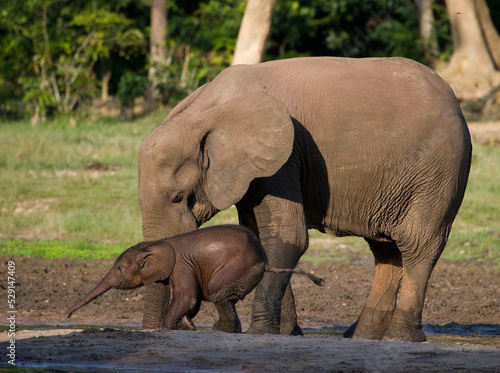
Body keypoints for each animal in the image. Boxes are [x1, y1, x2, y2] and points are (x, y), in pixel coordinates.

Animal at [66, 224, 324, 332]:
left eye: (119, 269)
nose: (67, 315)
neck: (155, 245)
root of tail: (265, 259)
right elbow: (190, 301)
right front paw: (186, 323)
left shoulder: (181, 267)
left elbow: (188, 297)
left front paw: (181, 326)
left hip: (237, 266)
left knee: (219, 292)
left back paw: (219, 329)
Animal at [138, 56, 472, 342]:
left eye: (178, 197)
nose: (169, 328)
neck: (208, 112)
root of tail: (453, 98)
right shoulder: (255, 168)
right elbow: (261, 238)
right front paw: (286, 334)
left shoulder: (285, 157)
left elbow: (289, 236)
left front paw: (260, 334)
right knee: (386, 250)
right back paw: (362, 336)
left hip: (437, 175)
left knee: (418, 246)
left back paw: (400, 337)